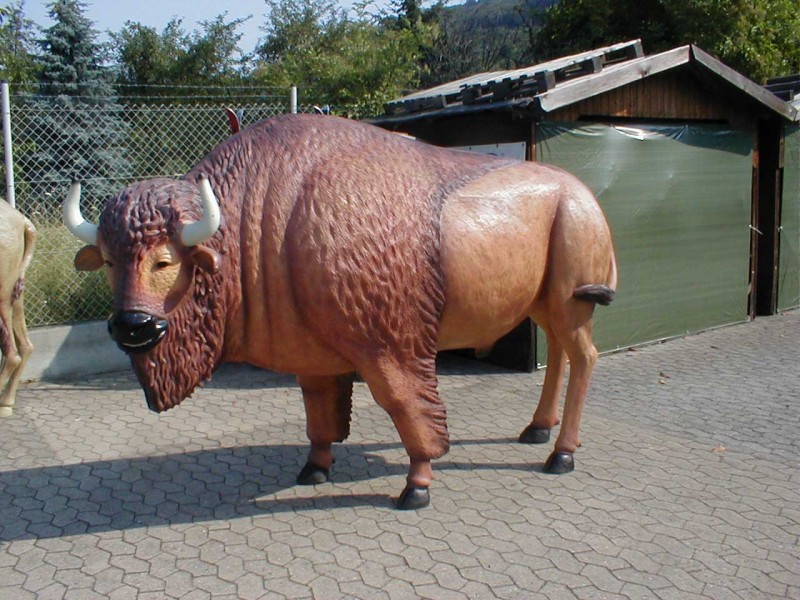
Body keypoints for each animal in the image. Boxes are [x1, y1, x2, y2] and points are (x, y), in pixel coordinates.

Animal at [64, 114, 616, 509]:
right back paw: (536, 431)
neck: (252, 223)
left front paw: (416, 486)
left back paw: (560, 454)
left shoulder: (390, 348)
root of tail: (580, 193)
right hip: (543, 307)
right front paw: (314, 468)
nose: (132, 325)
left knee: (584, 357)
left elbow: (408, 409)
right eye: (109, 261)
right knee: (560, 356)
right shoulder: (312, 353)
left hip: (571, 304)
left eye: (165, 260)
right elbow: (319, 414)